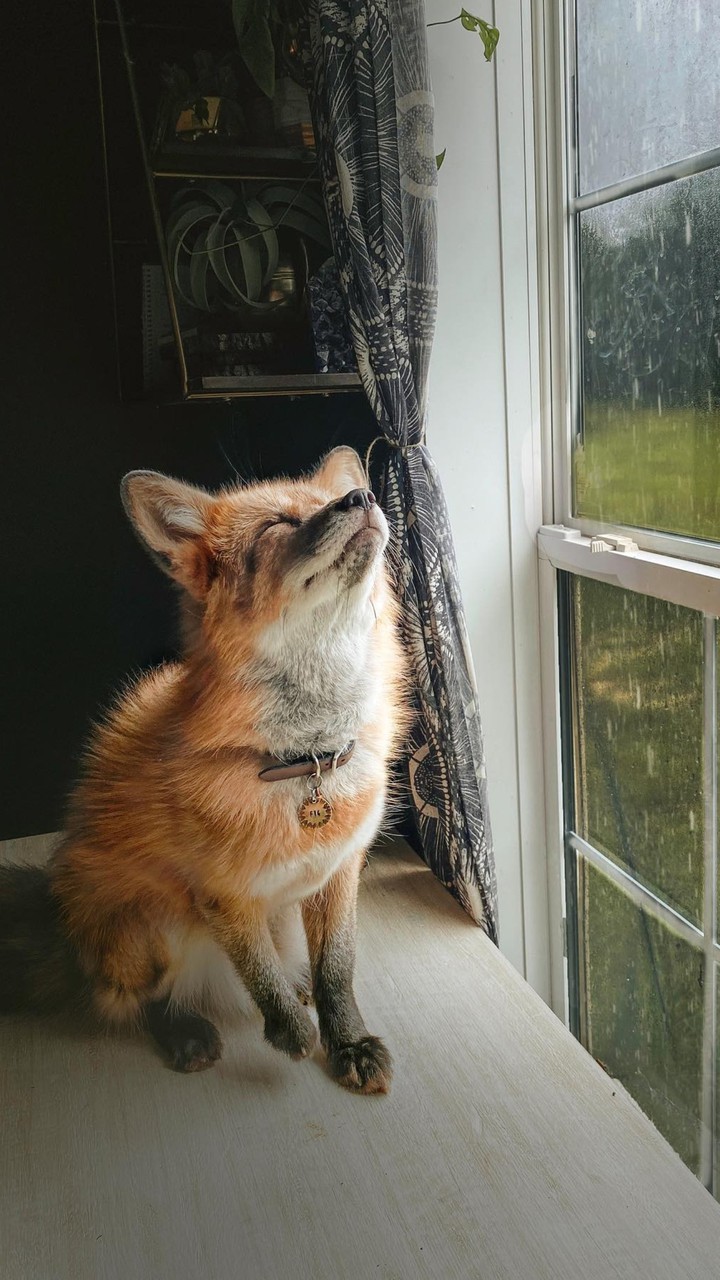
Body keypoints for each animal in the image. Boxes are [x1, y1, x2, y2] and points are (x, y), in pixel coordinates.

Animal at [0, 447, 407, 1094]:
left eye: (324, 503)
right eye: (277, 527)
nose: (361, 498)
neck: (304, 763)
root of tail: (63, 928)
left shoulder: (339, 871)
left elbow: (337, 970)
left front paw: (347, 1040)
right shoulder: (221, 894)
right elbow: (258, 973)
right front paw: (291, 1031)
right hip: (152, 930)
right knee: (131, 1001)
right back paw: (183, 1030)